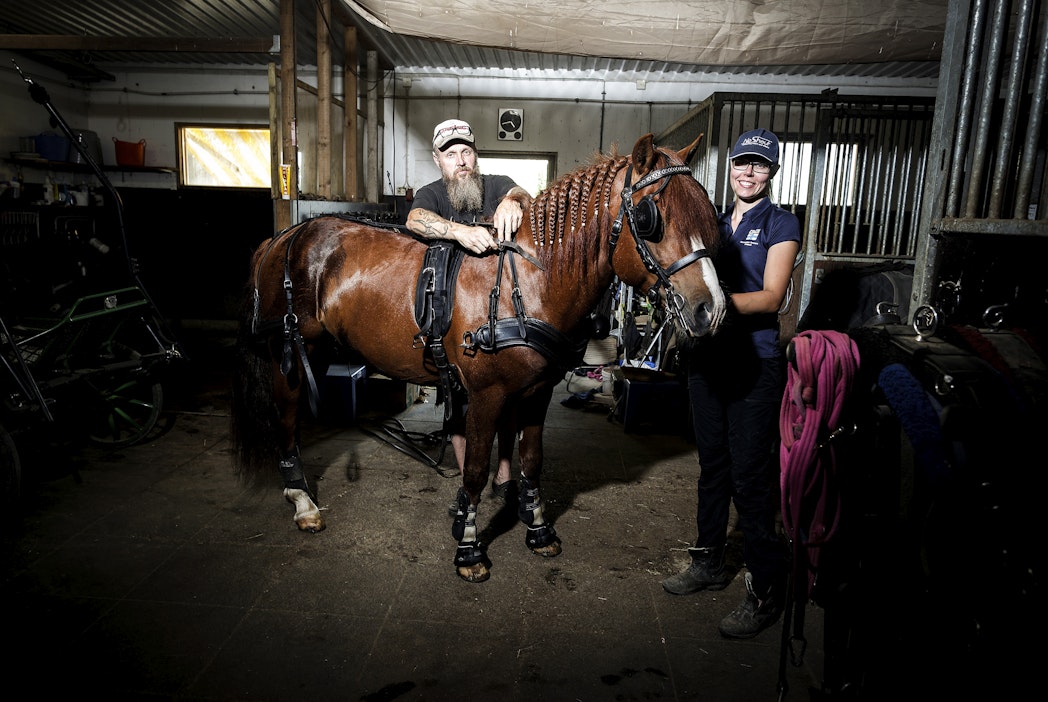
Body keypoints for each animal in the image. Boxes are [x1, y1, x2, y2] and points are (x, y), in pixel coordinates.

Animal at [231, 132, 727, 583]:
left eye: (707, 215)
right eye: (649, 218)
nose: (712, 308)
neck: (528, 281)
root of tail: (283, 237)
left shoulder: (537, 393)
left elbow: (531, 461)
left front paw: (538, 529)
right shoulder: (487, 395)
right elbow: (472, 471)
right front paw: (469, 549)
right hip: (289, 351)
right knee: (287, 416)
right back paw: (301, 500)